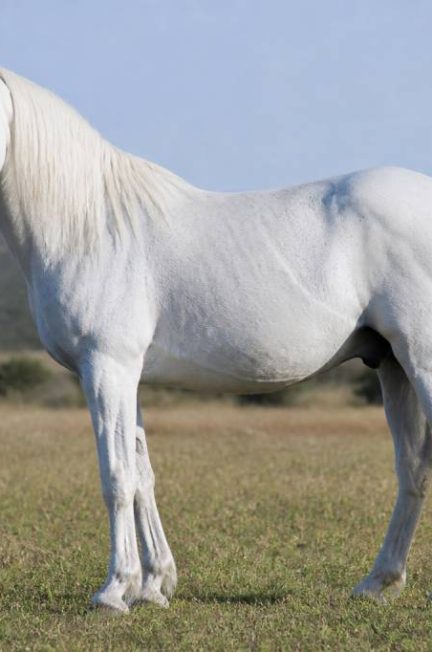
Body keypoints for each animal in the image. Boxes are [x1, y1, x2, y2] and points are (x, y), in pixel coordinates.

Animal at [0, 68, 431, 613]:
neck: (89, 227)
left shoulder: (106, 367)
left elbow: (116, 476)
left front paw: (115, 590)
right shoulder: (127, 374)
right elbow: (142, 476)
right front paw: (154, 586)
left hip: (421, 360)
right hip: (393, 365)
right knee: (412, 469)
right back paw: (378, 582)